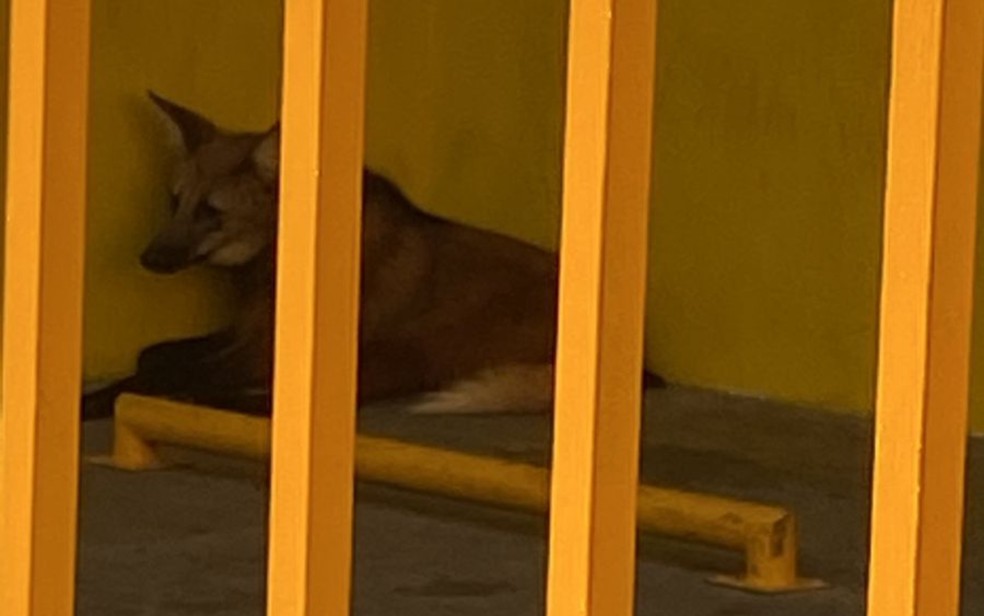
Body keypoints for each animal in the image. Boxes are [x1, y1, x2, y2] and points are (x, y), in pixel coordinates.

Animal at [82, 92, 664, 420]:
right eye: (175, 202)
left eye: (211, 211)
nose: (149, 258)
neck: (269, 265)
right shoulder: (250, 329)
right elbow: (156, 354)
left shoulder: (265, 347)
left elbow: (169, 373)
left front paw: (101, 402)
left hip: (417, 341)